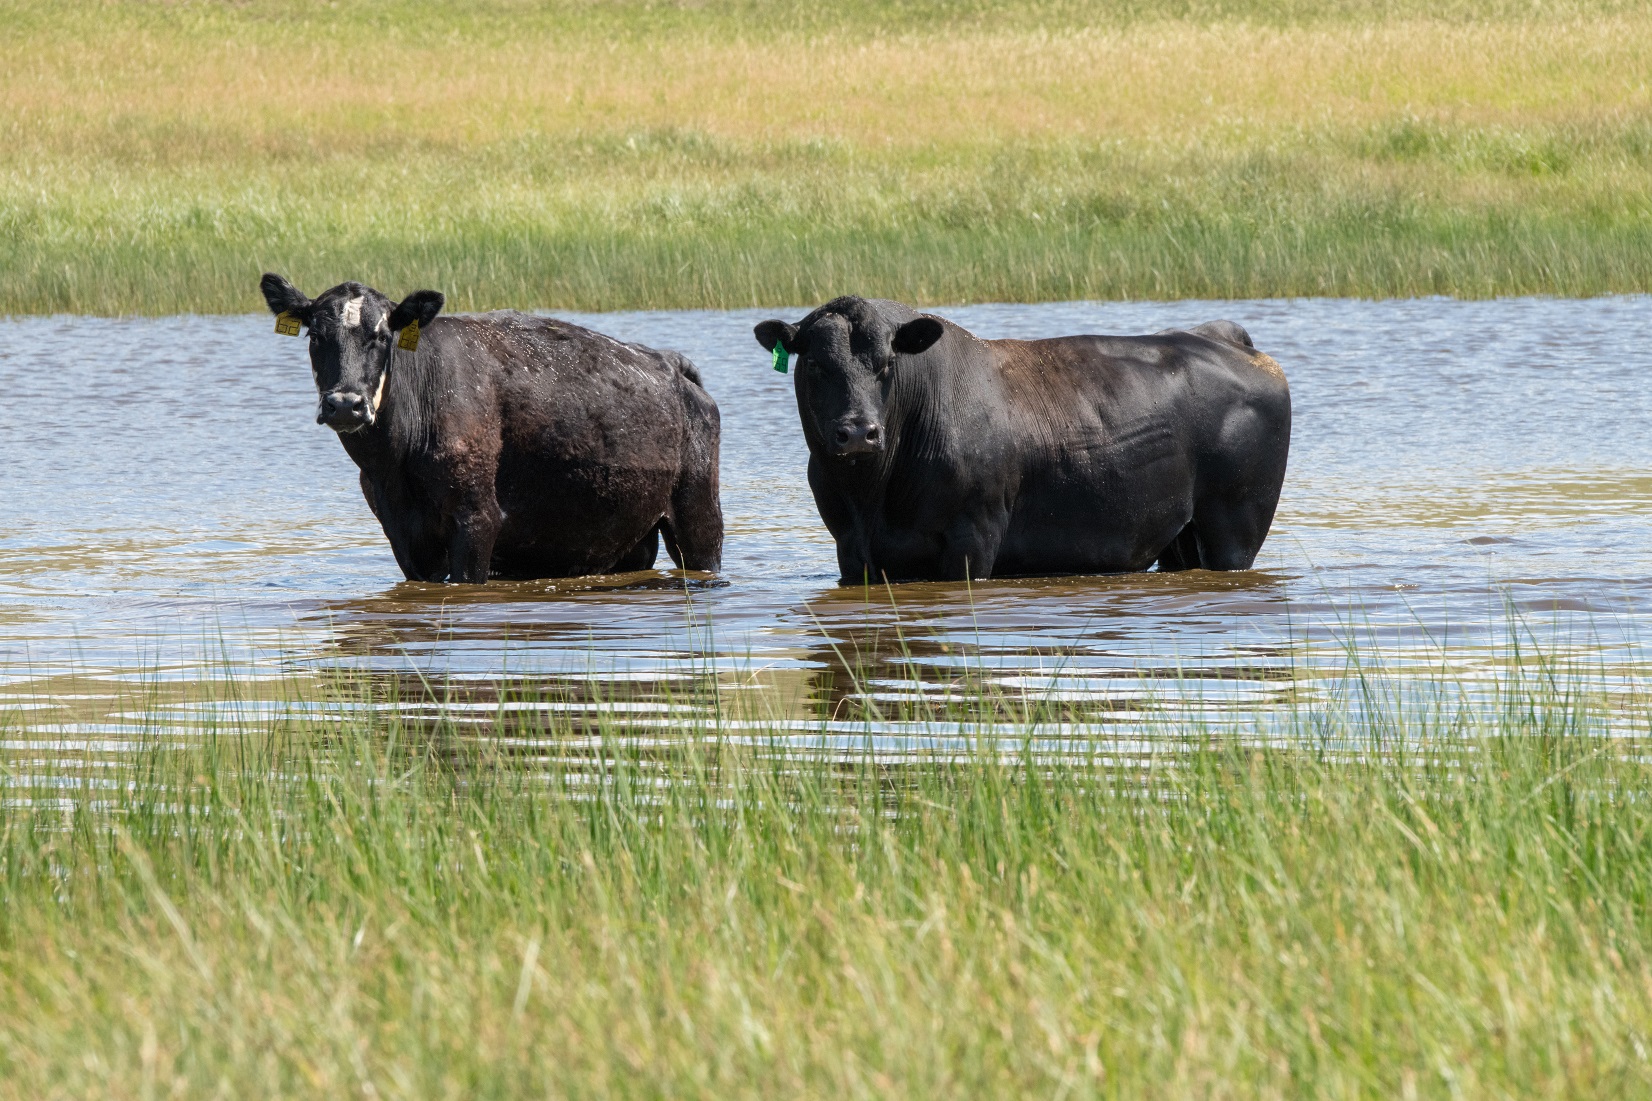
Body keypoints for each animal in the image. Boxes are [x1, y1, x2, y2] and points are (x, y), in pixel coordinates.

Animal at [262, 274, 723, 581]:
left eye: (381, 336)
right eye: (315, 336)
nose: (345, 404)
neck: (394, 462)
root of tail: (670, 362)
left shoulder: (477, 518)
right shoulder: (400, 530)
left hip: (699, 518)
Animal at [756, 290, 1288, 581]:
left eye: (888, 363)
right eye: (816, 365)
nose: (857, 433)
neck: (875, 495)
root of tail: (1219, 335)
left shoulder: (974, 536)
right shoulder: (850, 547)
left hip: (1236, 527)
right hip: (1180, 536)